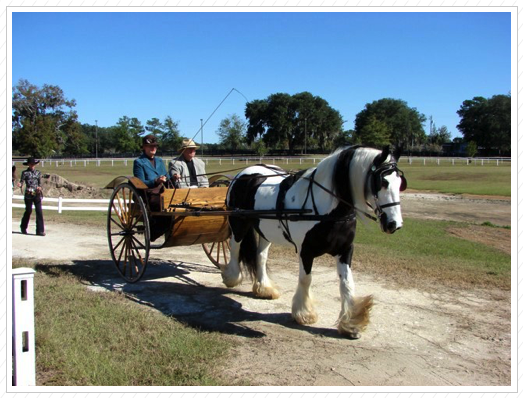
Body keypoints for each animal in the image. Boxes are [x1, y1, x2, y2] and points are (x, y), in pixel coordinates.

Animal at [223, 146, 408, 338]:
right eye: (382, 182)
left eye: (400, 183)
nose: (394, 224)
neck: (328, 209)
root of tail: (244, 173)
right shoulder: (306, 251)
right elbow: (306, 279)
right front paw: (304, 313)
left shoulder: (345, 250)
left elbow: (347, 283)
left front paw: (350, 323)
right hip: (238, 225)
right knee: (235, 249)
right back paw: (232, 278)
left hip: (266, 232)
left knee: (260, 257)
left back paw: (264, 288)